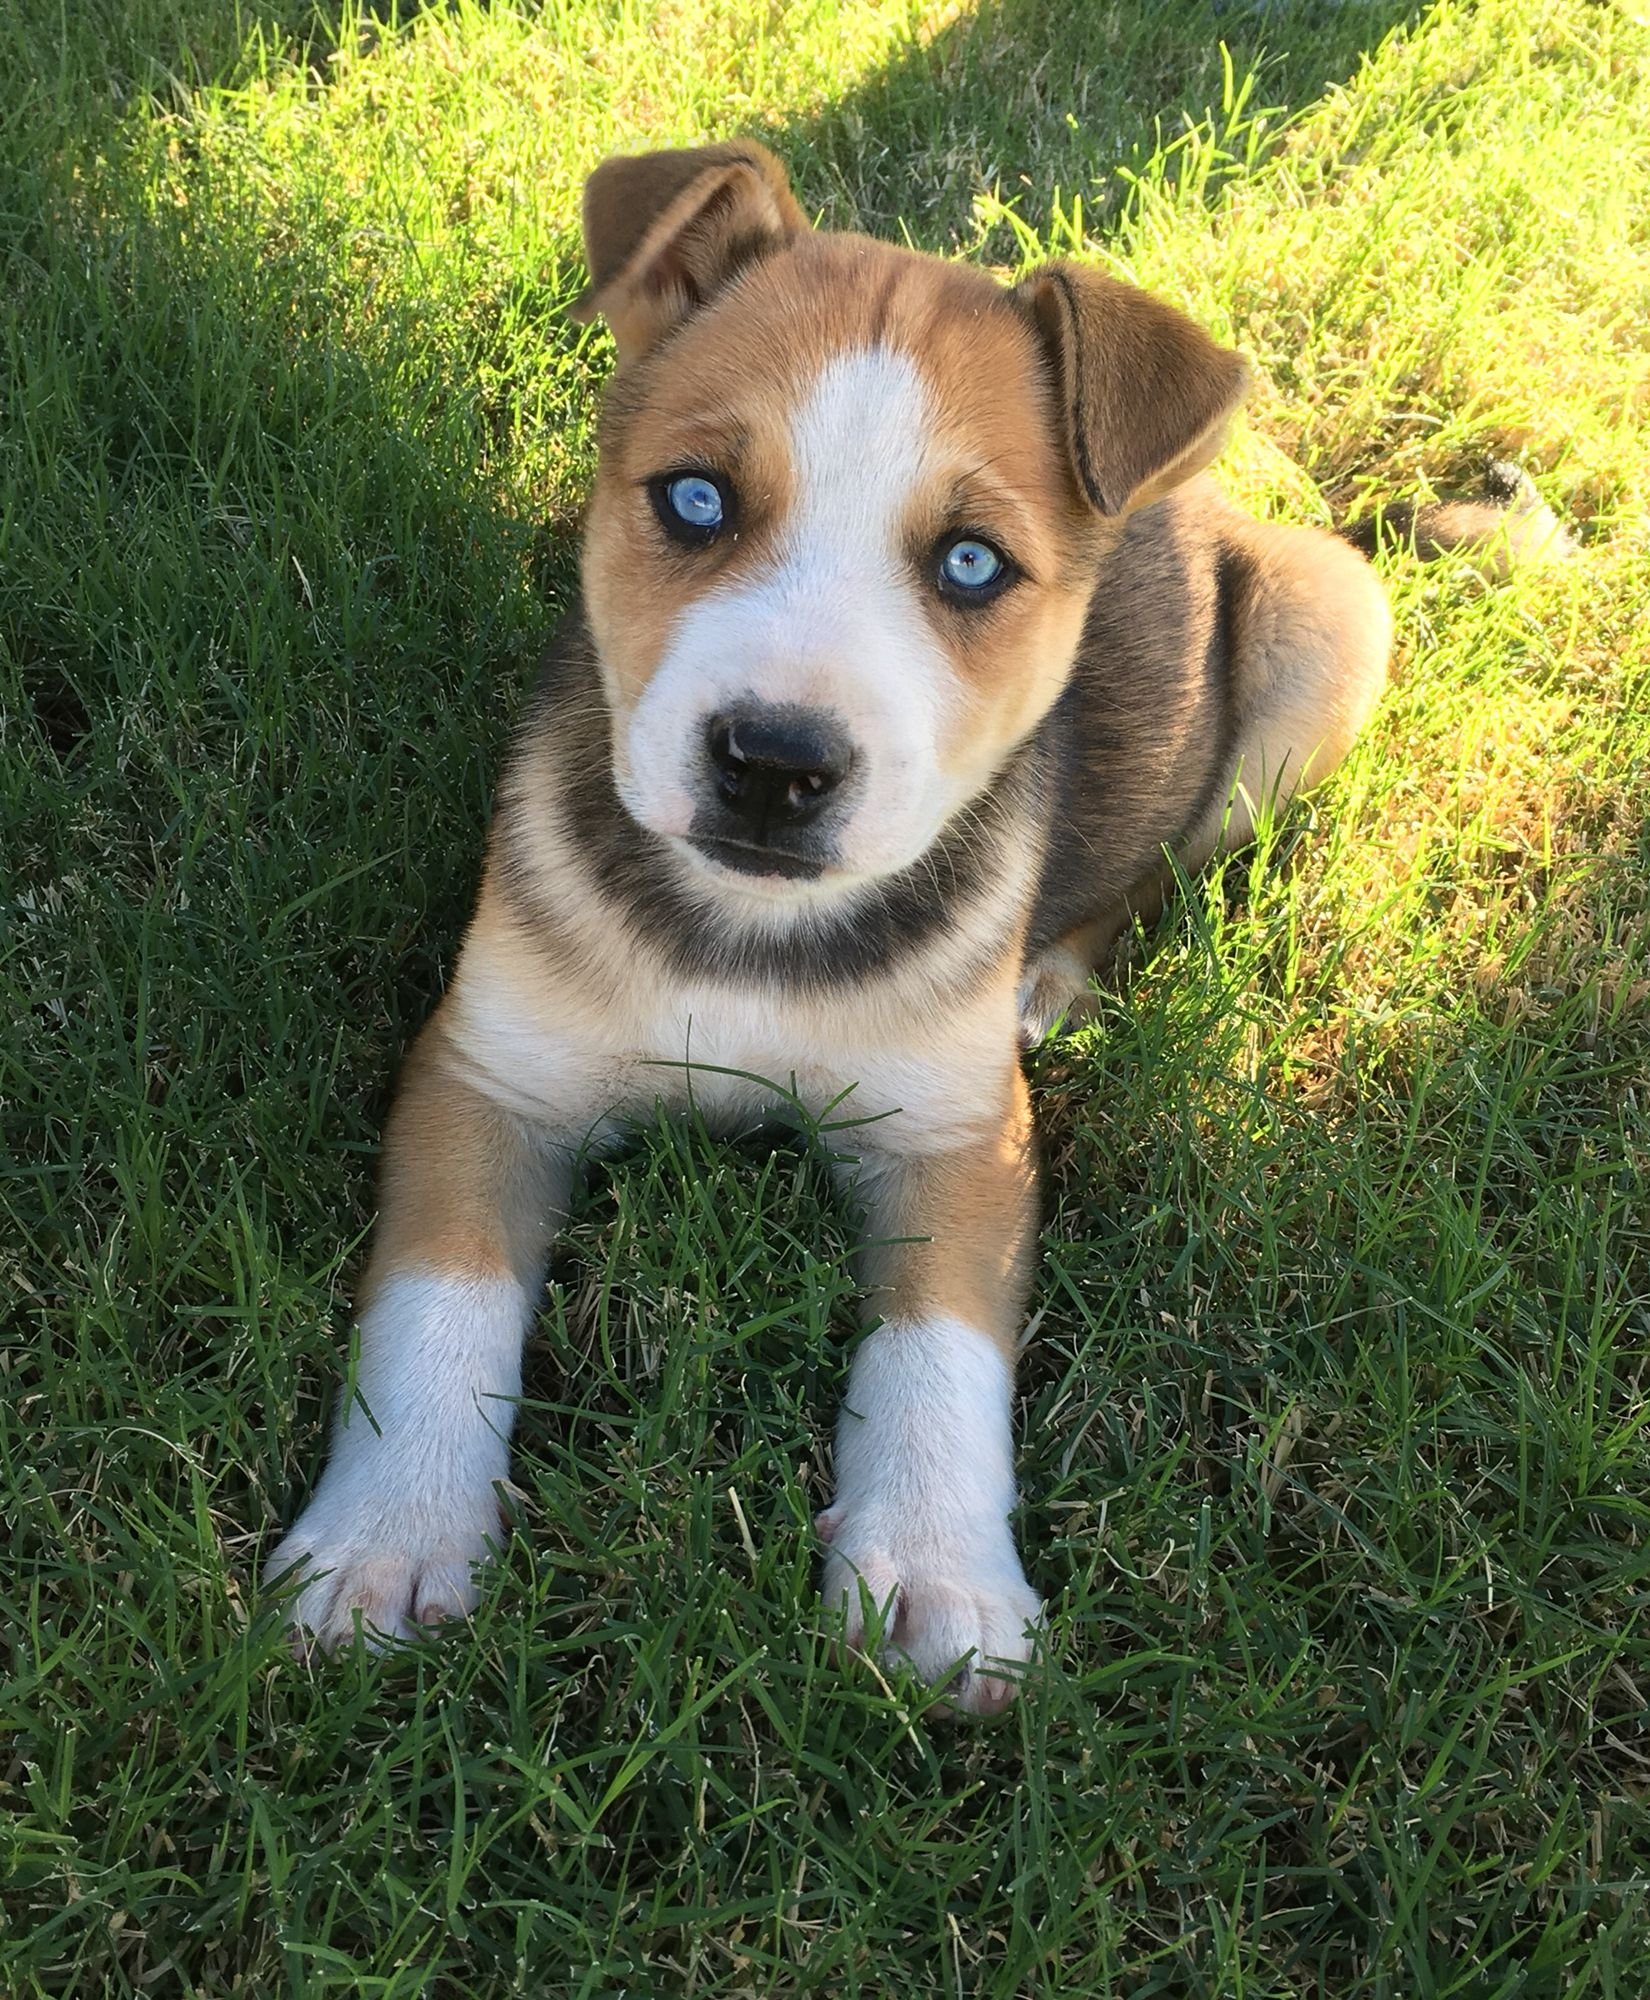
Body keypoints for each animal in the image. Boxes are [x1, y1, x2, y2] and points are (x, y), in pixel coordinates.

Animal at [266, 138, 1408, 1715]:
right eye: (693, 500)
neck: (748, 930)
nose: (774, 763)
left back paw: (1052, 980)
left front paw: (935, 1572)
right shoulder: (485, 1078)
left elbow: (936, 1358)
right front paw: (391, 1531)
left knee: (1161, 871)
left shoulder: (958, 1140)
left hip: (1330, 626)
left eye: (974, 566)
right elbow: (439, 1304)